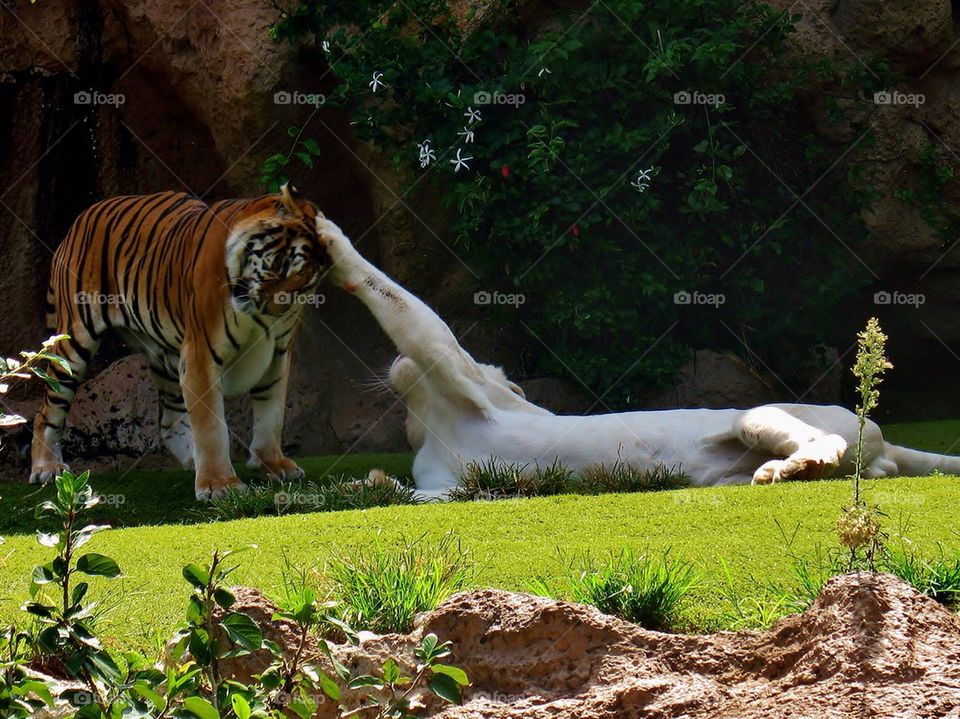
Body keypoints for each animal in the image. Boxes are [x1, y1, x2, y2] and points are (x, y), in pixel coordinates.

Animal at [31, 184, 328, 499]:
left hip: (166, 354)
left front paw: (271, 464)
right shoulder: (201, 354)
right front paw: (220, 484)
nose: (276, 309)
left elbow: (272, 413)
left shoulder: (277, 354)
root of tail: (80, 219)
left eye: (306, 285)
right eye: (283, 265)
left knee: (169, 423)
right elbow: (211, 425)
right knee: (46, 411)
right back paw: (47, 468)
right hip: (74, 343)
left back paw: (195, 459)